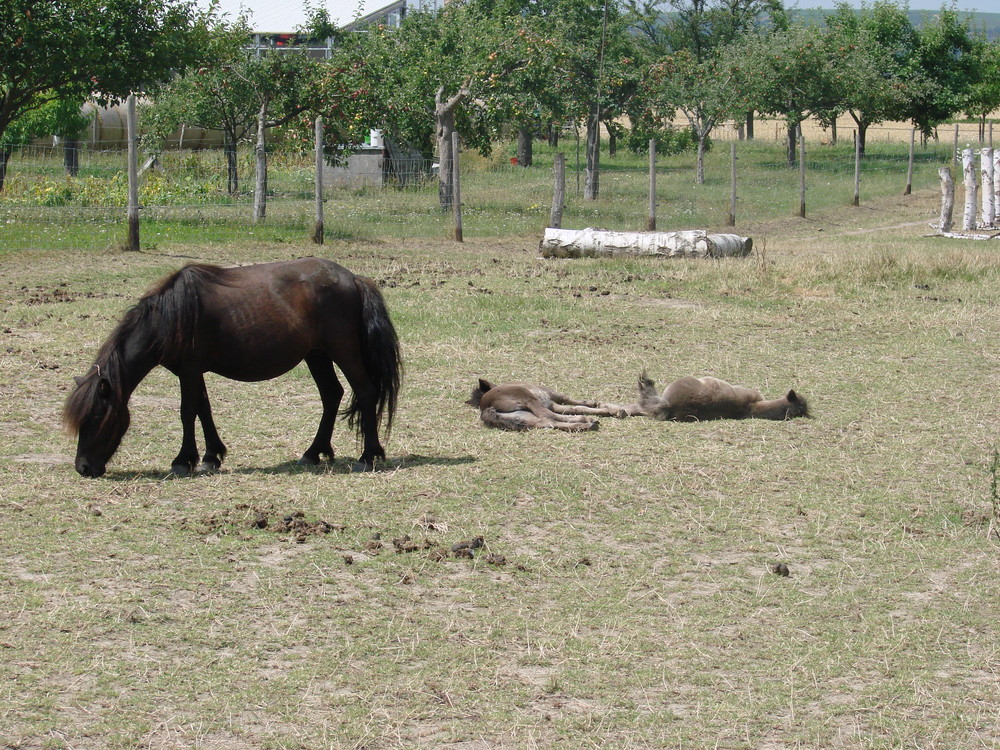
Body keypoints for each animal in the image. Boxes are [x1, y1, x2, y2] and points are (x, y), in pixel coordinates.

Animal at [62, 258, 402, 478]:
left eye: (95, 418)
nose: (84, 468)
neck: (171, 317)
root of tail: (354, 279)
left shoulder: (189, 370)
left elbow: (187, 411)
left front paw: (183, 460)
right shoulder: (192, 371)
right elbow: (203, 408)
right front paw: (212, 456)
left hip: (342, 351)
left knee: (365, 392)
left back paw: (368, 456)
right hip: (316, 355)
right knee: (332, 395)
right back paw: (312, 453)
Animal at [464, 378, 636, 432]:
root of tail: (487, 407)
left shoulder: (552, 403)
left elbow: (574, 407)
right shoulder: (553, 397)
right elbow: (578, 404)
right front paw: (614, 410)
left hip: (526, 417)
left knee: (547, 421)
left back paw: (585, 425)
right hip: (529, 400)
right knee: (547, 416)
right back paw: (586, 421)